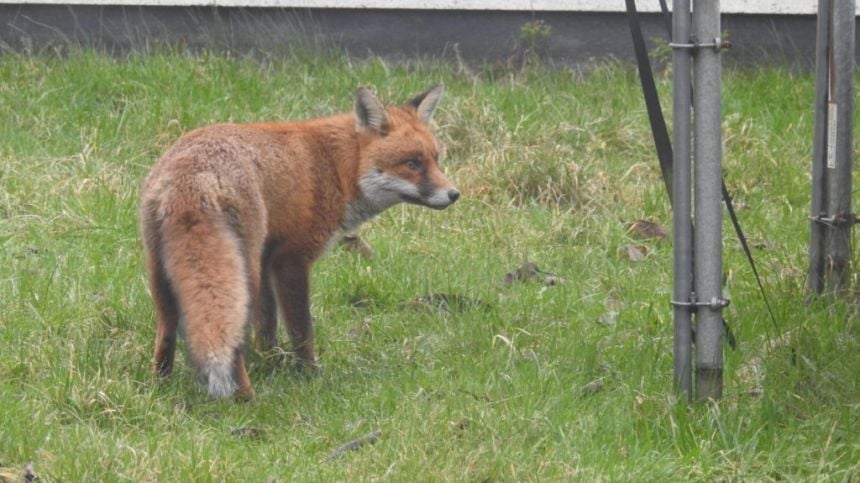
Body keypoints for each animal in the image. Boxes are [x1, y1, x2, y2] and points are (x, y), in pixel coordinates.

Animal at [141, 85, 460, 398]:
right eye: (412, 163)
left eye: (436, 159)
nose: (454, 194)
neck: (336, 167)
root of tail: (193, 176)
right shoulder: (291, 260)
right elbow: (301, 327)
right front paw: (309, 373)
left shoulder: (267, 258)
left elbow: (267, 323)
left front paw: (270, 362)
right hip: (242, 271)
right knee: (230, 337)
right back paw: (245, 398)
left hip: (163, 271)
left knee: (167, 329)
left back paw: (160, 385)